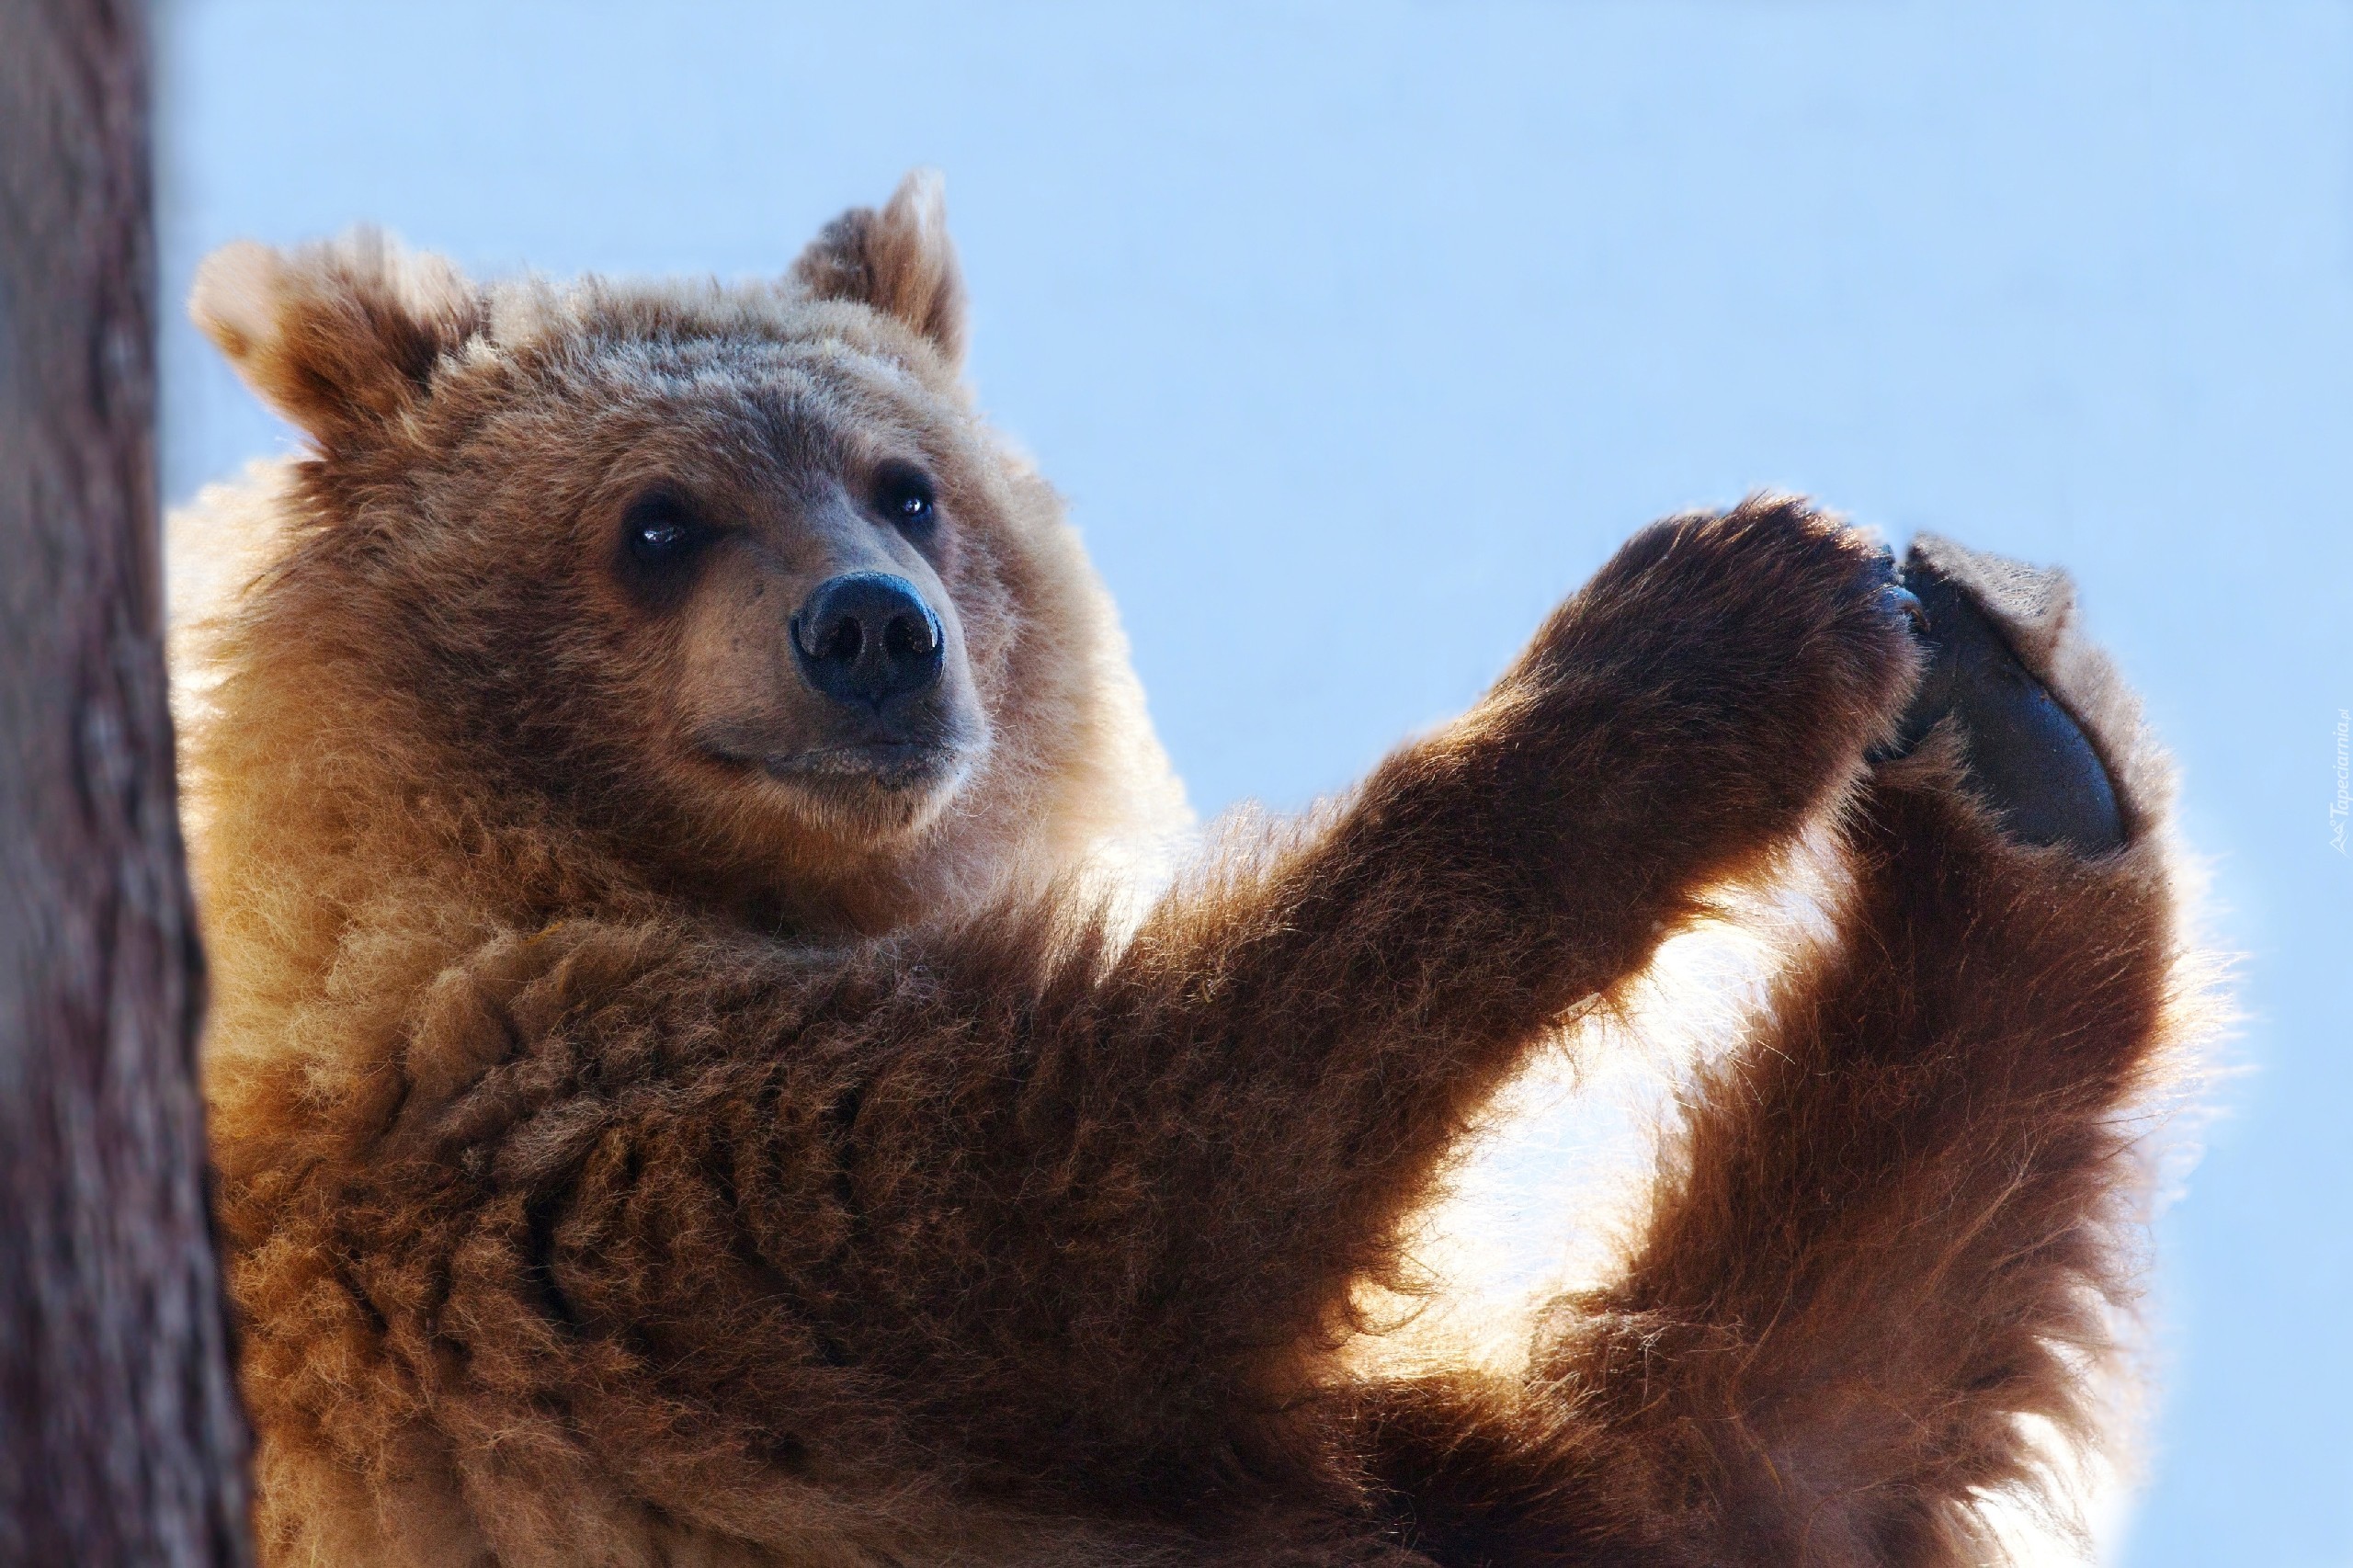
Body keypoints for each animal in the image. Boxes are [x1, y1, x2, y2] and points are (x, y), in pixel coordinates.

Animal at [178, 165, 2202, 1553]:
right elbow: (1116, 1167)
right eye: (656, 522)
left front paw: (2008, 738)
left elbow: (1742, 1447)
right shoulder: (545, 1194)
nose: (873, 630)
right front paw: (1713, 618)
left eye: (910, 483)